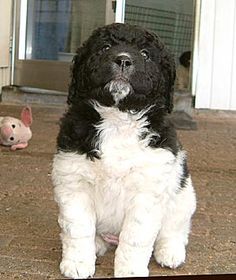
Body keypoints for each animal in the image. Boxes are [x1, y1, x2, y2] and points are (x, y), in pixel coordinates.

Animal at [52, 23, 196, 278]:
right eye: (105, 47)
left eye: (146, 54)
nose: (123, 60)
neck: (118, 119)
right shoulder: (73, 182)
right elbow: (77, 229)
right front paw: (77, 263)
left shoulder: (147, 191)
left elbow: (136, 238)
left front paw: (130, 271)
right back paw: (97, 245)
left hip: (184, 198)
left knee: (175, 230)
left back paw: (170, 252)